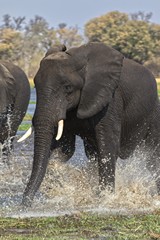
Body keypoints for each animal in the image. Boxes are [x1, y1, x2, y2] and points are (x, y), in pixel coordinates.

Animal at [20, 41, 159, 206]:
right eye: (35, 87)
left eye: (68, 87)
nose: (24, 205)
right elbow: (64, 149)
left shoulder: (110, 99)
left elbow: (107, 148)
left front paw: (105, 199)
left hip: (153, 114)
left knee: (153, 157)